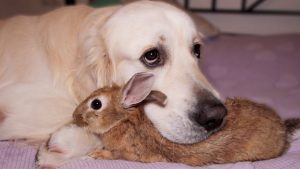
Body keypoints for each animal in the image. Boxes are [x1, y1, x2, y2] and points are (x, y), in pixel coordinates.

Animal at [72, 72, 298, 166]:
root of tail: (282, 130)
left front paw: (94, 155)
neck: (122, 119)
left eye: (96, 104)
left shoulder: (129, 152)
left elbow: (115, 155)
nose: (75, 117)